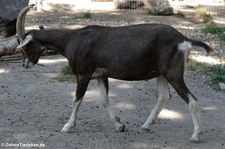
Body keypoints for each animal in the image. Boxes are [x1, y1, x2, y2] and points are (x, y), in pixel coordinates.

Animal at [13, 4, 214, 143]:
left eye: (25, 47)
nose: (25, 64)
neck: (72, 40)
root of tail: (184, 39)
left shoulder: (83, 74)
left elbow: (77, 99)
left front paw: (68, 126)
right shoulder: (101, 75)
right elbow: (104, 100)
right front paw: (120, 125)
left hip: (173, 73)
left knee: (191, 99)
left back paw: (195, 135)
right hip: (161, 74)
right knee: (164, 96)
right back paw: (146, 125)